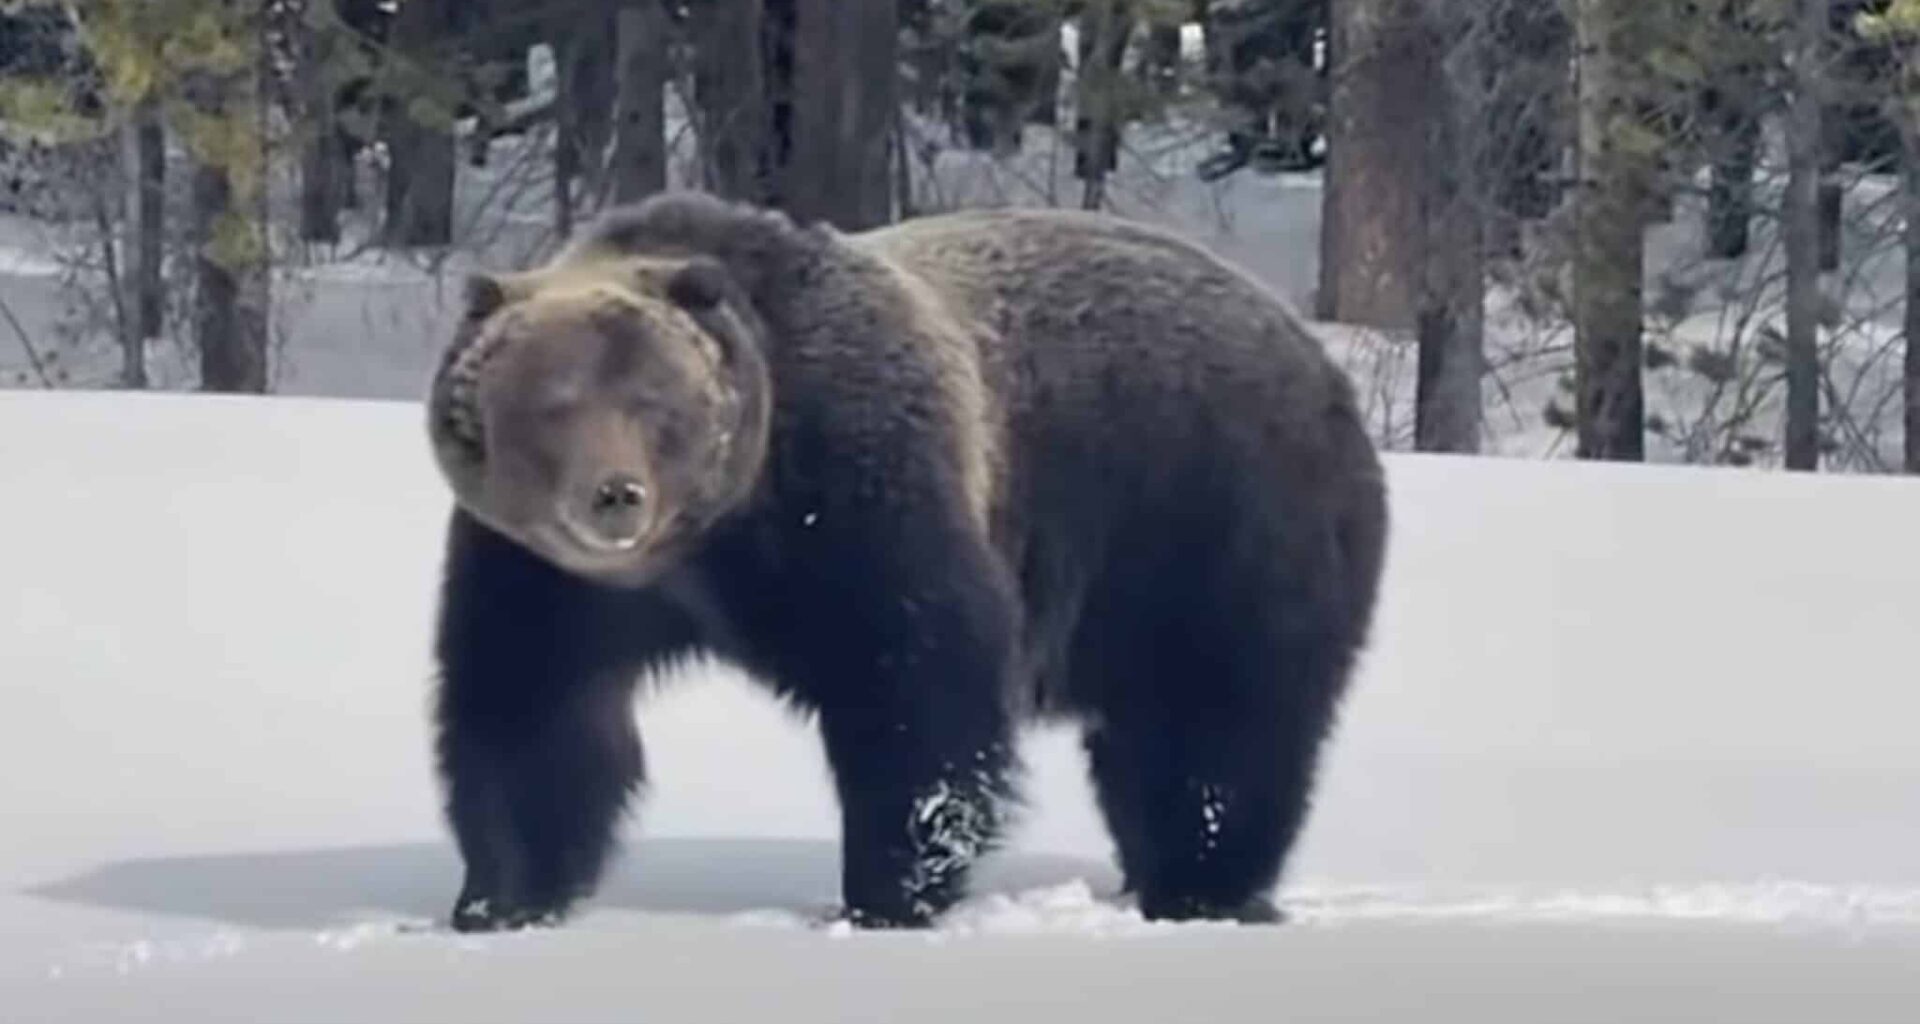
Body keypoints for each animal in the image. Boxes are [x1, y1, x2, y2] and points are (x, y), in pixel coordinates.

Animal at [423, 190, 1388, 933]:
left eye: (658, 402)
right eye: (554, 403)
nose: (615, 495)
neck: (710, 541)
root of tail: (1313, 350)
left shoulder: (855, 495)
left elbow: (917, 689)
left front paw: (886, 895)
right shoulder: (540, 573)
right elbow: (528, 711)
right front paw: (497, 898)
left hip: (1216, 523)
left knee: (1220, 730)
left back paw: (1202, 887)